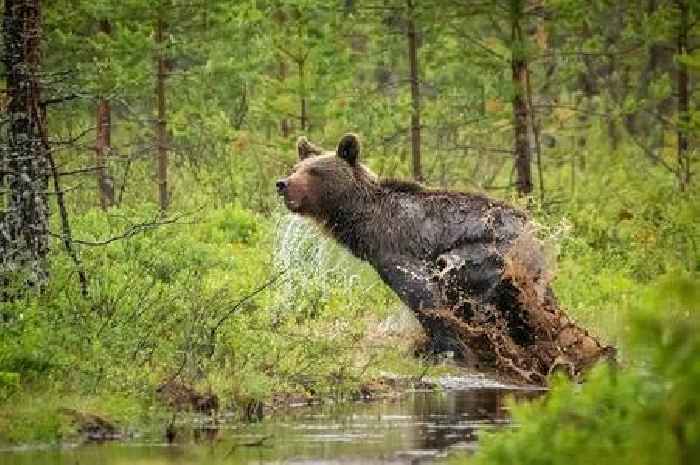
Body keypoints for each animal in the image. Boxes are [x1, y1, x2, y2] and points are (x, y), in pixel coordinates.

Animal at [276, 132, 616, 382]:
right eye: (296, 168)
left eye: (314, 171)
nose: (282, 184)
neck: (365, 222)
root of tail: (530, 231)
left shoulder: (398, 249)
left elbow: (422, 294)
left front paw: (443, 349)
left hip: (490, 254)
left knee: (461, 275)